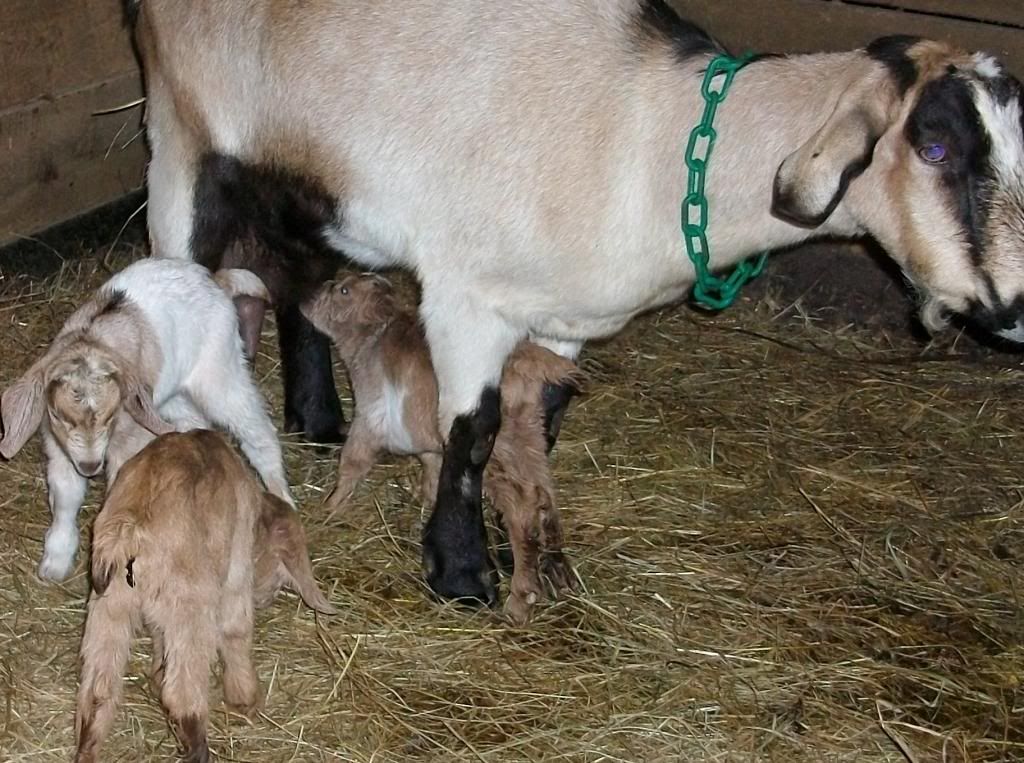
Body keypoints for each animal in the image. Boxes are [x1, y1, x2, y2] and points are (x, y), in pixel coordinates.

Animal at [0, 258, 291, 582]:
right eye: (59, 415)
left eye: (111, 415)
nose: (90, 466)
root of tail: (215, 280)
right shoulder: (60, 445)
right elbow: (66, 496)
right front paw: (55, 562)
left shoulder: (130, 439)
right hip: (169, 396)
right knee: (195, 421)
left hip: (220, 371)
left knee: (256, 430)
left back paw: (283, 498)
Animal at [74, 429, 334, 763]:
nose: (268, 596)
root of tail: (128, 528)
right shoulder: (237, 568)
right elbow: (235, 630)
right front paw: (244, 700)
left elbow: (159, 637)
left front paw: (157, 673)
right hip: (191, 604)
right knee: (183, 695)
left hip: (109, 606)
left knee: (97, 693)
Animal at [303, 274, 580, 623]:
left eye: (343, 290)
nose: (305, 301)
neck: (374, 336)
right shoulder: (428, 442)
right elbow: (431, 470)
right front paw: (424, 501)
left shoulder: (368, 419)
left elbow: (352, 463)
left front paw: (329, 507)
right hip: (528, 440)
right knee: (545, 493)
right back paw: (559, 573)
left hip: (498, 457)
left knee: (524, 507)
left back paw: (521, 599)